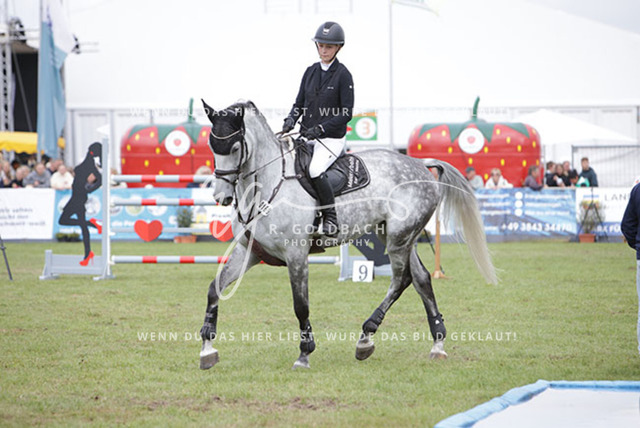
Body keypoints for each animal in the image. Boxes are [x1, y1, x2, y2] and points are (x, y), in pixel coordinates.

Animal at [199, 99, 497, 370]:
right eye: (212, 147)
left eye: (235, 148)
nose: (221, 197)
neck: (267, 183)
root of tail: (421, 165)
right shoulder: (249, 252)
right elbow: (214, 289)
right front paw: (207, 349)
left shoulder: (296, 255)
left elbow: (300, 305)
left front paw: (304, 354)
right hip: (395, 236)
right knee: (422, 279)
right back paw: (437, 344)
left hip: (399, 238)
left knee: (402, 279)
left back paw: (366, 337)